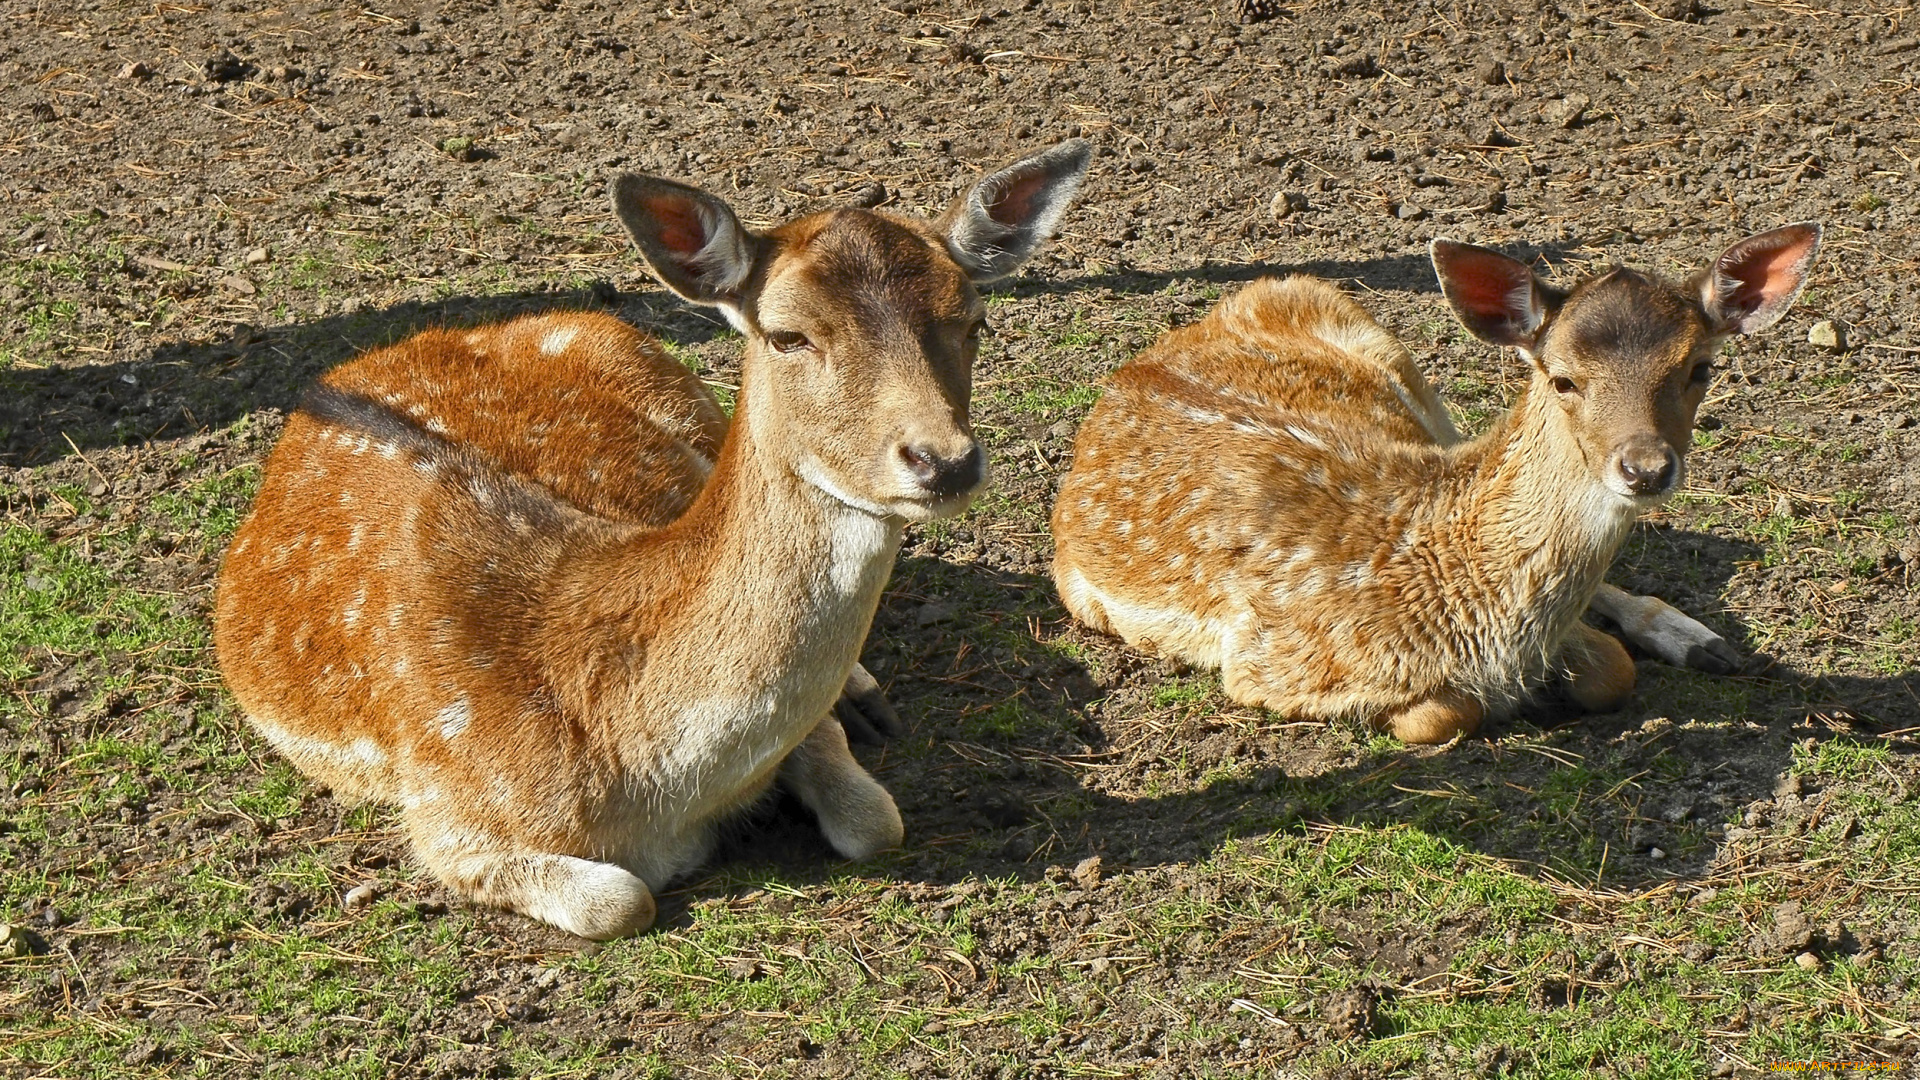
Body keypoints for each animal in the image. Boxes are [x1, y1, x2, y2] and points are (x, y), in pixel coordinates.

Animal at [212, 141, 1098, 933]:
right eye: (788, 335)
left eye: (974, 319)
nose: (943, 460)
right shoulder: (446, 815)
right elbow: (621, 901)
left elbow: (875, 819)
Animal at [1059, 225, 1820, 737]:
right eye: (1563, 378)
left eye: (1700, 368)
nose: (1645, 467)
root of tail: (1131, 368)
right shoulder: (1265, 664)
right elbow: (1446, 713)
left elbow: (1613, 669)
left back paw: (1708, 643)